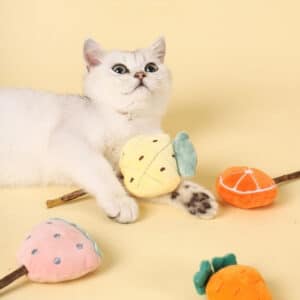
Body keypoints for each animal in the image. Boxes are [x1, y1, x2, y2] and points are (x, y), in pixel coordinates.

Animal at [0, 37, 217, 223]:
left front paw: (195, 198)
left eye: (151, 67)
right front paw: (120, 202)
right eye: (119, 69)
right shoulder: (70, 141)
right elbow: (100, 169)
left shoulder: (127, 167)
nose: (141, 74)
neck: (128, 122)